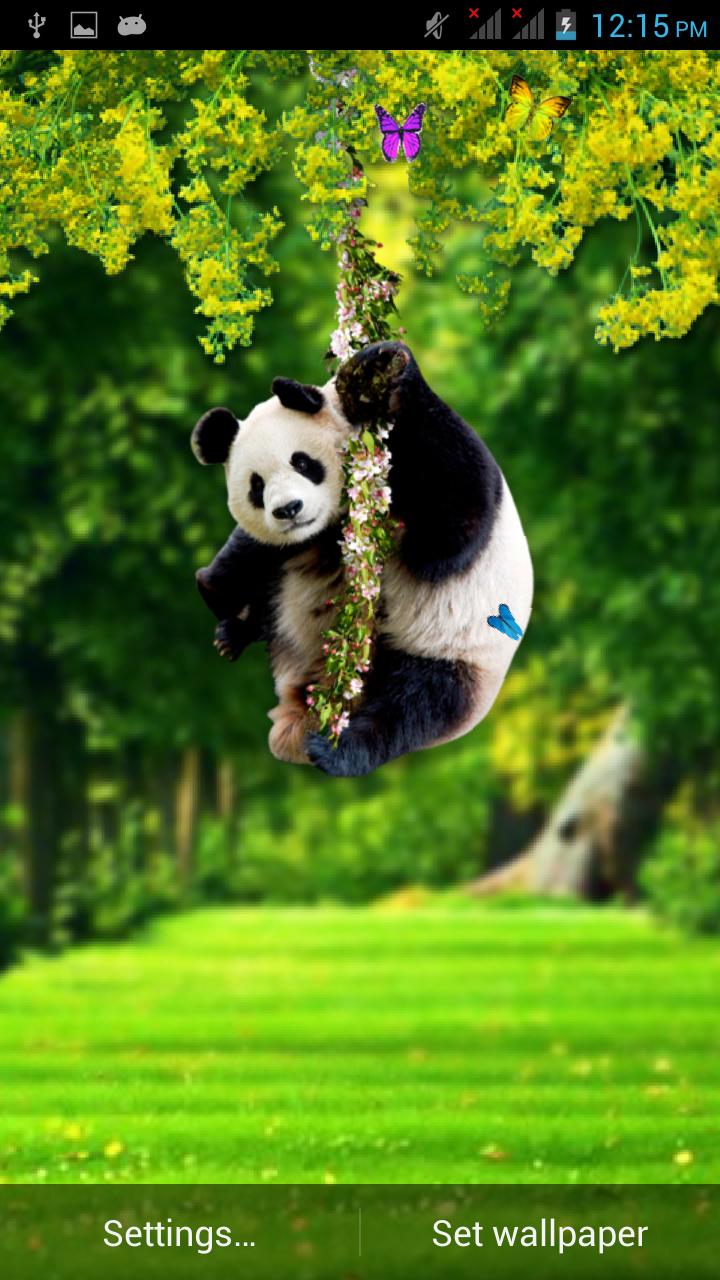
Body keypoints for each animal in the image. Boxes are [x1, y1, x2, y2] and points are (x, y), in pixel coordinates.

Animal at [191, 340, 533, 777]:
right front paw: (222, 595)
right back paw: (234, 630)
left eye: (302, 462)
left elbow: (451, 528)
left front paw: (385, 364)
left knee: (412, 708)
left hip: (450, 654)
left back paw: (337, 751)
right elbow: (245, 559)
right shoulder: (296, 540)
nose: (288, 510)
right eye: (256, 486)